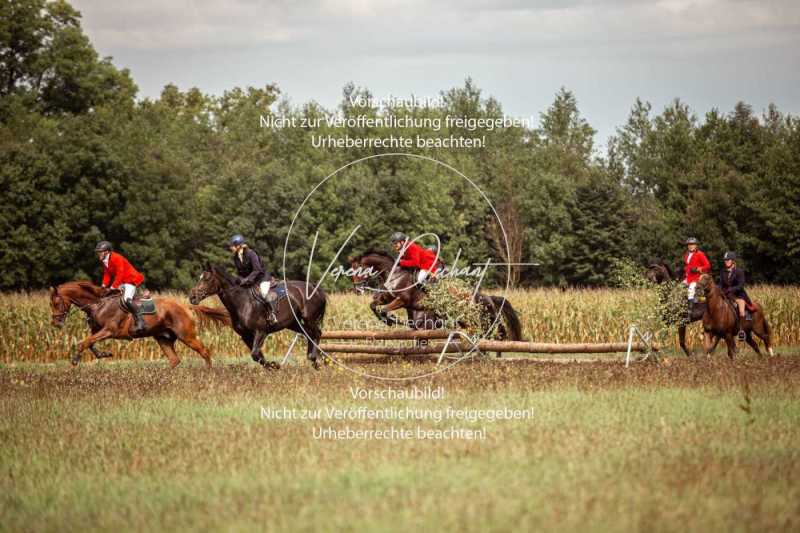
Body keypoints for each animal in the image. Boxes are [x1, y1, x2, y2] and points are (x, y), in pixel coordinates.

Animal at [48, 282, 212, 366]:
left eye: (55, 303)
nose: (56, 323)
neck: (98, 304)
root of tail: (185, 306)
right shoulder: (97, 331)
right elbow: (90, 343)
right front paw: (104, 354)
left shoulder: (109, 330)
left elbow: (84, 343)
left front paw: (75, 360)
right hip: (163, 338)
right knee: (174, 360)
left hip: (186, 335)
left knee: (205, 352)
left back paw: (208, 373)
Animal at [186, 264, 326, 368]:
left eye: (207, 279)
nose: (192, 297)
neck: (242, 302)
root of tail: (314, 287)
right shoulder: (245, 335)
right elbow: (258, 357)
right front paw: (272, 366)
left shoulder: (260, 331)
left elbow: (255, 354)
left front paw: (274, 365)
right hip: (293, 323)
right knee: (308, 333)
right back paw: (311, 358)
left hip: (309, 318)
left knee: (316, 333)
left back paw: (314, 357)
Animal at [346, 248, 520, 342]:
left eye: (358, 270)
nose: (358, 289)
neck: (394, 273)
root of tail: (480, 295)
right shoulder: (387, 297)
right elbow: (374, 305)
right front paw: (388, 320)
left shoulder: (402, 300)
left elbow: (384, 309)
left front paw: (391, 320)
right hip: (464, 319)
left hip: (473, 316)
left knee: (487, 329)